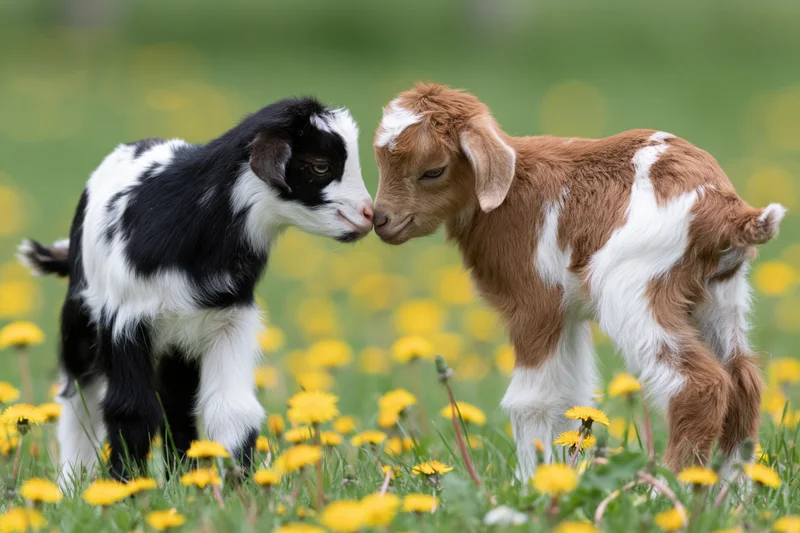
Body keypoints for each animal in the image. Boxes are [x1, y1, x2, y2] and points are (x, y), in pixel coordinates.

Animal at [18, 97, 373, 484]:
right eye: (320, 165)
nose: (369, 215)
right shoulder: (125, 317)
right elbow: (130, 408)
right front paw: (126, 487)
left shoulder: (230, 318)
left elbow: (232, 409)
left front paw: (238, 486)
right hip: (81, 322)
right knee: (78, 395)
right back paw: (72, 481)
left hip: (178, 341)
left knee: (176, 401)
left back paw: (183, 475)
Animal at [371, 82, 784, 480]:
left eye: (433, 170)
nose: (381, 220)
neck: (511, 192)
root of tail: (726, 211)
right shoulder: (567, 313)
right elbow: (570, 396)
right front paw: (560, 472)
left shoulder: (535, 303)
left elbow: (531, 400)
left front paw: (530, 484)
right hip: (718, 295)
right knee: (743, 384)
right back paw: (729, 490)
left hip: (634, 287)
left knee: (699, 385)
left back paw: (666, 489)